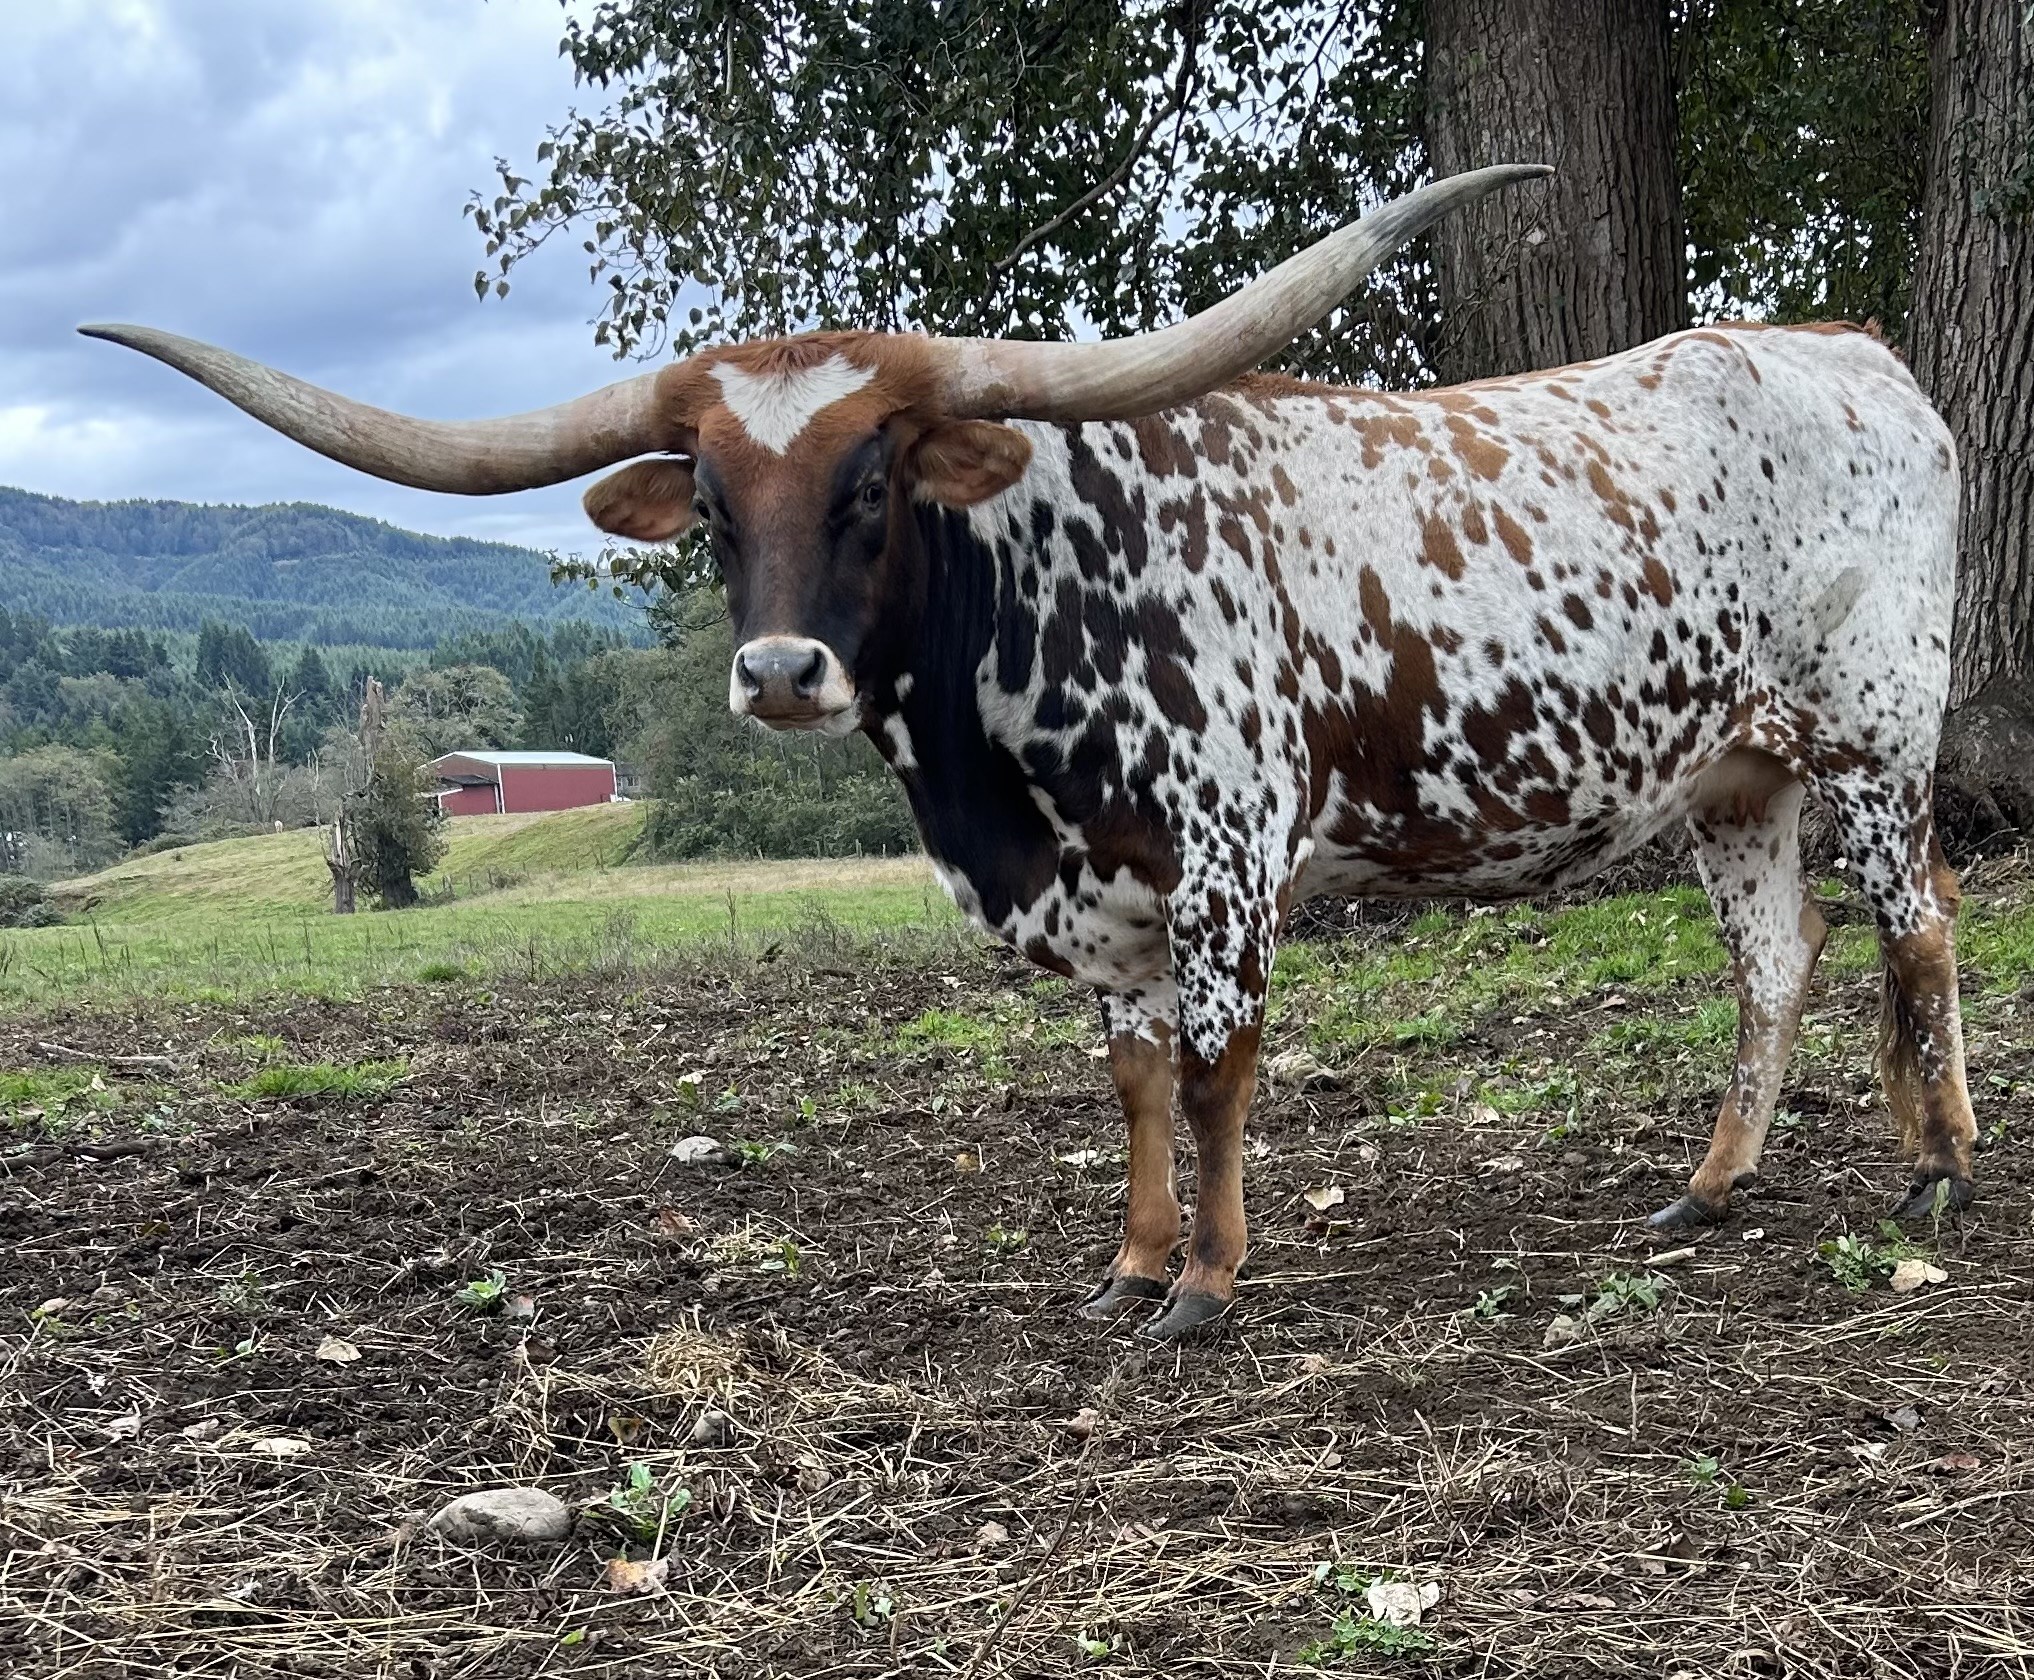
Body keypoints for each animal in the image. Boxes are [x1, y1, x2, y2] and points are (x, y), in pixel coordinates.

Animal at [84, 164, 1978, 1340]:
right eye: (711, 506)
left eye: (871, 484)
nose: (778, 672)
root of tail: (1845, 349)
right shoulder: (1100, 897)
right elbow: (1131, 1085)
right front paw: (1130, 1269)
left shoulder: (1221, 859)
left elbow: (1214, 1072)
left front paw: (1206, 1289)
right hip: (1733, 776)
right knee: (1775, 959)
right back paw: (1709, 1189)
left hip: (1873, 737)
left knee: (1919, 929)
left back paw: (1937, 1170)